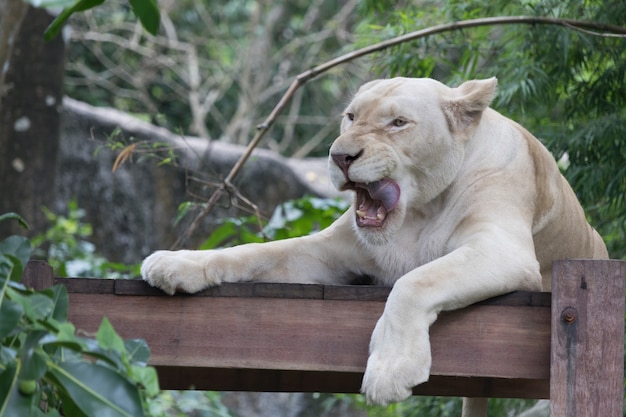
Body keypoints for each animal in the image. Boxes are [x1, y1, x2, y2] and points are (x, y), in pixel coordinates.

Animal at [141, 78, 604, 416]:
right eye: (350, 117)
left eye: (397, 123)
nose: (340, 156)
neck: (417, 212)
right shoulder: (327, 251)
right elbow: (252, 252)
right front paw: (174, 263)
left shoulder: (505, 249)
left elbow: (416, 281)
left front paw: (390, 370)